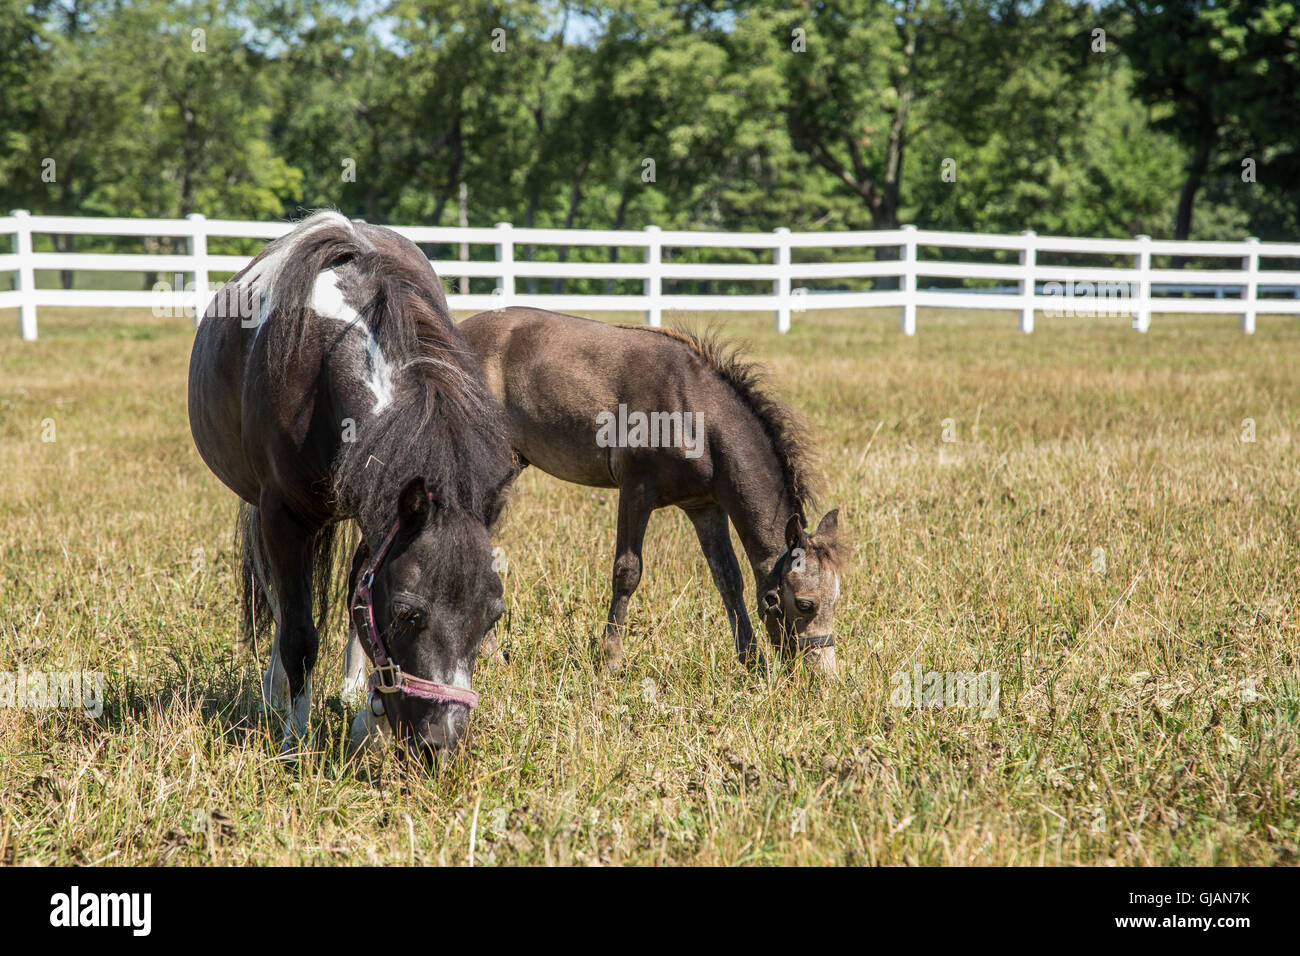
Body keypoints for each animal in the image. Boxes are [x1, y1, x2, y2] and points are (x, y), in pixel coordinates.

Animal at [188, 210, 512, 764]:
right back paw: (276, 694)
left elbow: (357, 601)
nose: (440, 745)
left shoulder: (378, 512)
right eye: (407, 613)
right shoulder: (281, 517)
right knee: (281, 605)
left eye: (491, 616)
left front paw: (367, 721)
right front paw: (294, 740)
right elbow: (298, 632)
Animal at [462, 310, 847, 676]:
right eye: (805, 603)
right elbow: (627, 572)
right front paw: (611, 658)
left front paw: (753, 662)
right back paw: (489, 652)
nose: (823, 676)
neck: (692, 412)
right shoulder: (636, 489)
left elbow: (728, 578)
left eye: (836, 598)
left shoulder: (705, 507)